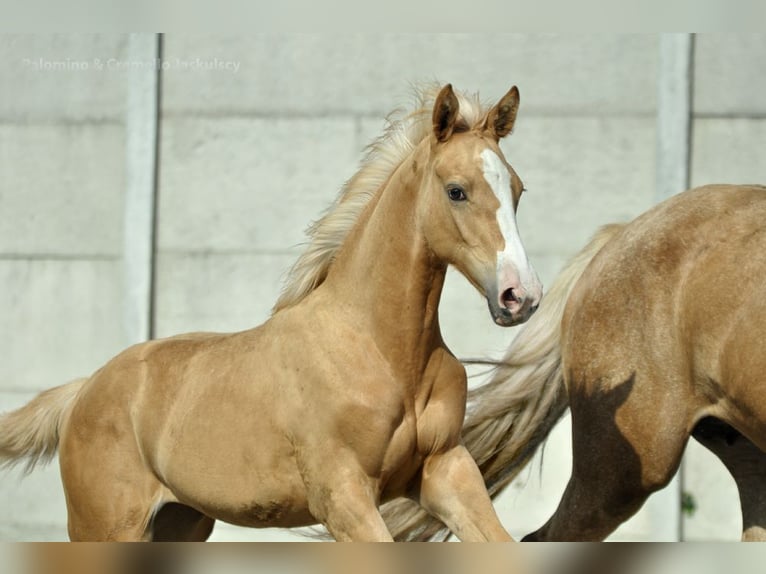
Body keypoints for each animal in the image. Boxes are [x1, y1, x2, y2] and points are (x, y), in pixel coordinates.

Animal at [0, 83, 540, 544]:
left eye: (517, 190)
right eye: (456, 190)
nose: (521, 296)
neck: (382, 351)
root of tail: (83, 390)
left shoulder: (446, 470)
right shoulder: (343, 497)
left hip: (179, 521)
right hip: (105, 526)